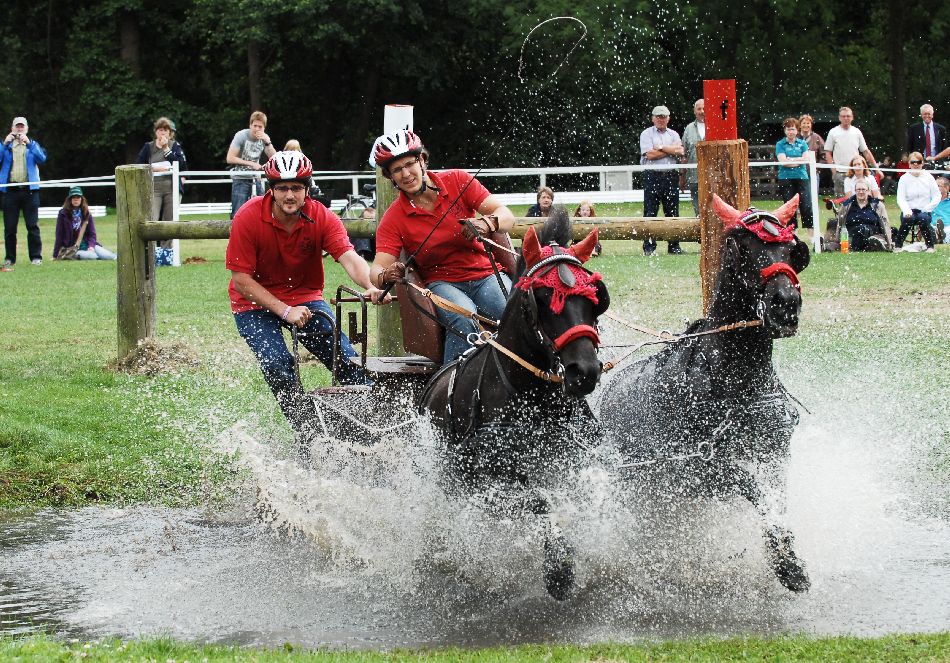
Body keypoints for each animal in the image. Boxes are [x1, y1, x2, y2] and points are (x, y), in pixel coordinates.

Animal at [420, 209, 612, 600]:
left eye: (594, 296)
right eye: (543, 296)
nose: (584, 371)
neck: (533, 397)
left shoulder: (576, 459)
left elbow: (589, 493)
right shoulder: (498, 475)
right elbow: (541, 502)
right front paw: (559, 569)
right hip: (453, 477)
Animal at [604, 195, 812, 592]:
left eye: (792, 249)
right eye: (741, 247)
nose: (785, 303)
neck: (736, 382)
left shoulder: (775, 451)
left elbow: (775, 497)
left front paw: (788, 556)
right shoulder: (700, 466)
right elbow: (752, 486)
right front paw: (784, 561)